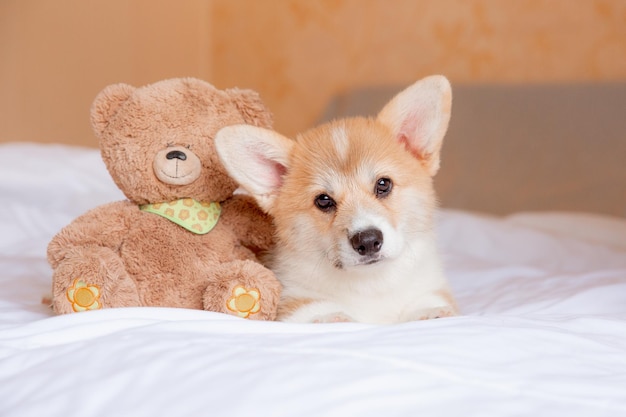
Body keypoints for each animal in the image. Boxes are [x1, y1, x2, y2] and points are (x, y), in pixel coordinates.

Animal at [217, 76, 456, 324]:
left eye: (383, 184)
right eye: (323, 201)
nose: (368, 241)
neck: (371, 283)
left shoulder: (430, 287)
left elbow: (427, 302)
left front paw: (432, 314)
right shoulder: (292, 299)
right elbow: (317, 311)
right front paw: (335, 318)